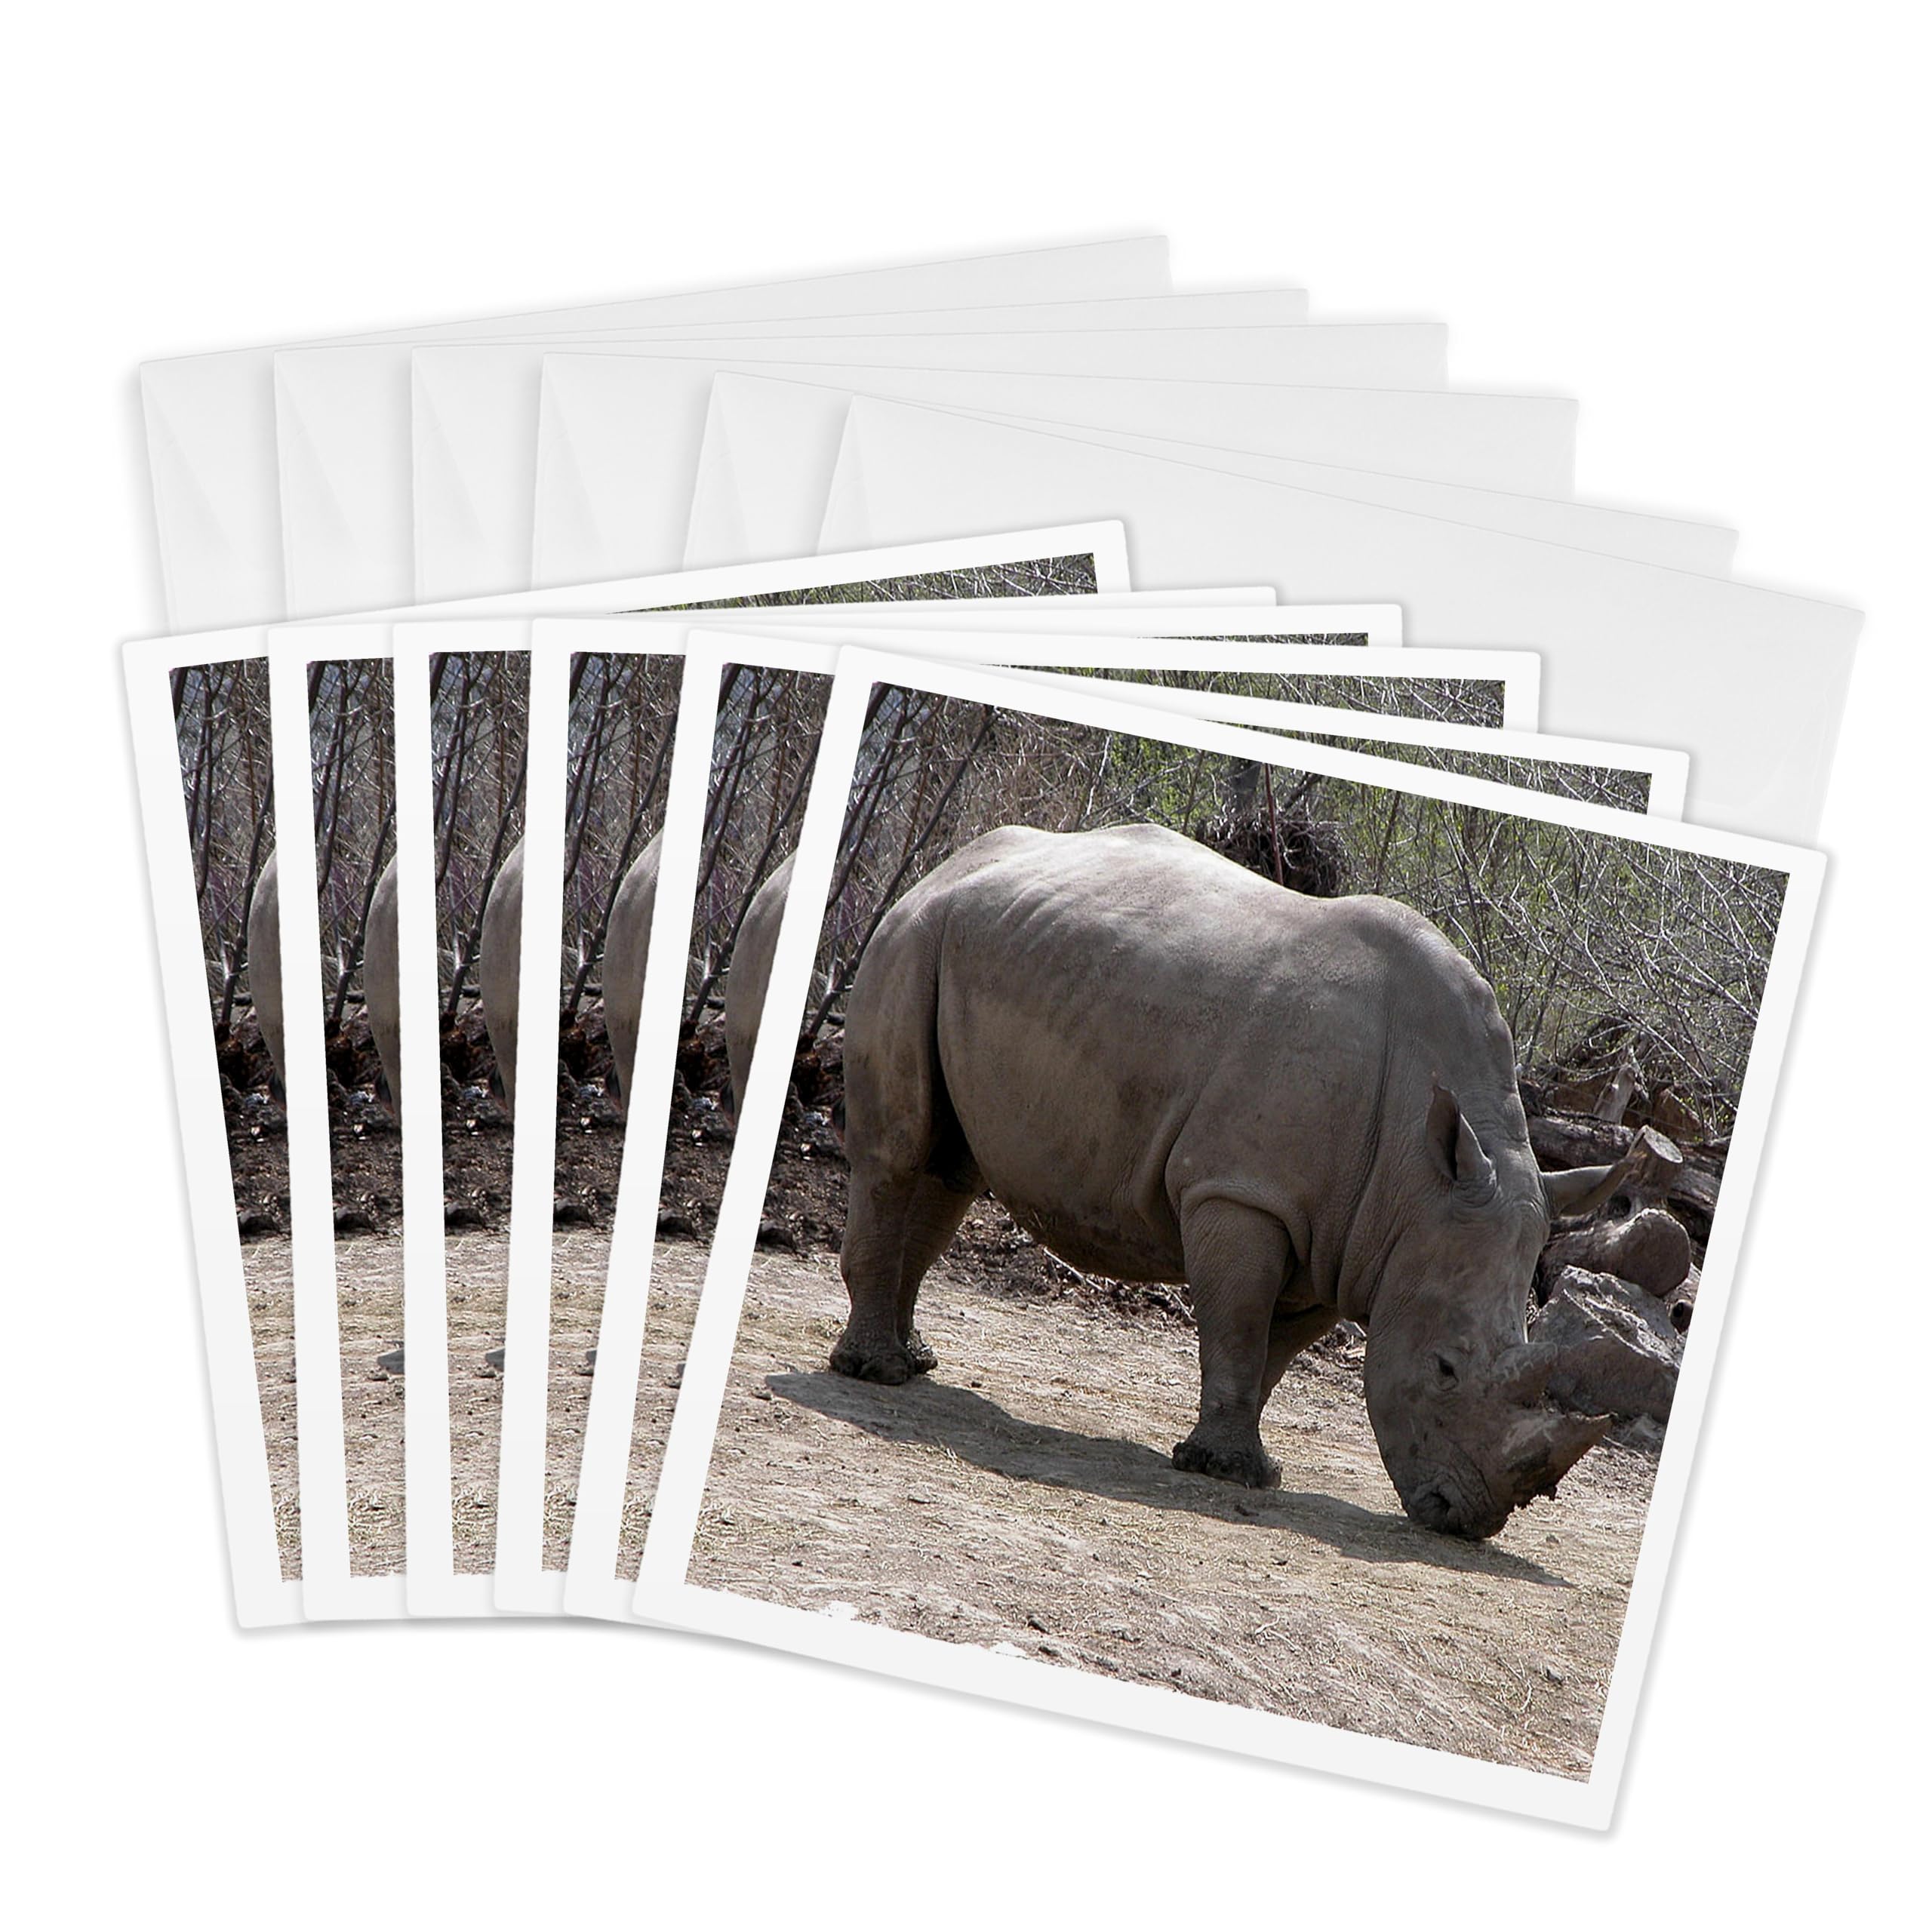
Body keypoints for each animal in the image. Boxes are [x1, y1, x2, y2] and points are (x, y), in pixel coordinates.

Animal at [834, 823, 1627, 1541]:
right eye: (1444, 1369)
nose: (1471, 1520)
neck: (1421, 1182)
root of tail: (948, 864)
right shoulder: (1243, 1191)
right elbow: (1239, 1328)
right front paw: (1226, 1470)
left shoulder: (1349, 1241)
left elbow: (1274, 1352)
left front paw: (1251, 1468)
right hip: (912, 938)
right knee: (899, 1149)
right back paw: (874, 1371)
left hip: (980, 948)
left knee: (951, 1168)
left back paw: (914, 1362)